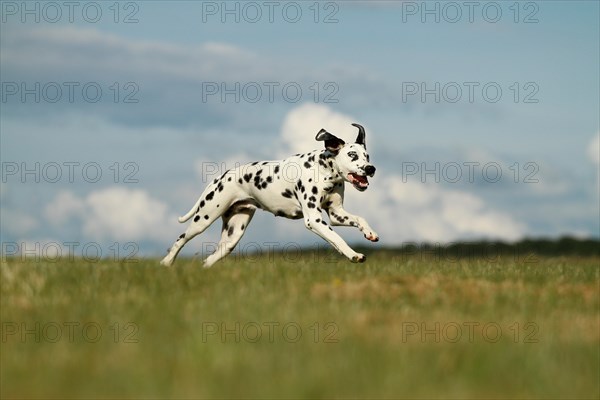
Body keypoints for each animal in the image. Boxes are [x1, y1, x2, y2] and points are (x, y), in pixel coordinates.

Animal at [162, 122, 378, 266]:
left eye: (367, 156)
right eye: (352, 155)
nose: (370, 168)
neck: (323, 170)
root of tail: (219, 177)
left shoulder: (335, 214)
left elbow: (360, 219)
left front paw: (369, 233)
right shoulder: (314, 220)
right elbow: (337, 238)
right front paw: (353, 254)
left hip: (232, 236)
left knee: (209, 260)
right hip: (203, 219)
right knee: (180, 239)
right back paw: (166, 262)